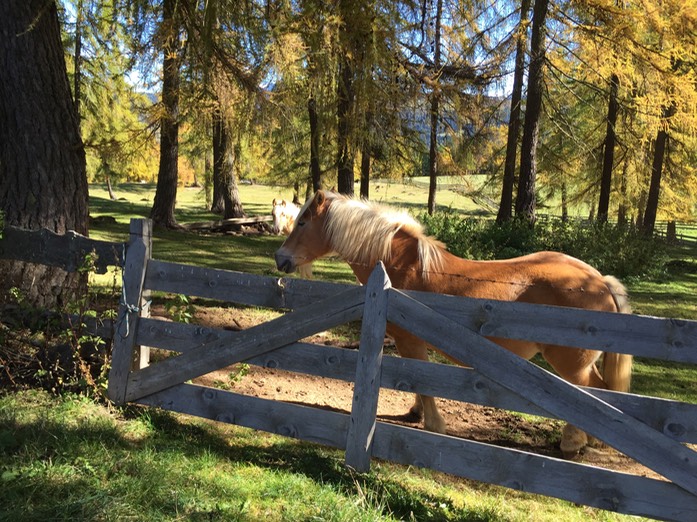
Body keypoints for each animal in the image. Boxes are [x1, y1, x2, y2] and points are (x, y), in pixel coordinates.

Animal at [274, 190, 632, 456]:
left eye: (302, 221)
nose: (280, 258)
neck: (399, 266)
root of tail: (600, 280)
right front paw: (415, 412)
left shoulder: (409, 341)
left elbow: (420, 381)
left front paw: (434, 424)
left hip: (572, 365)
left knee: (590, 396)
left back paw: (572, 443)